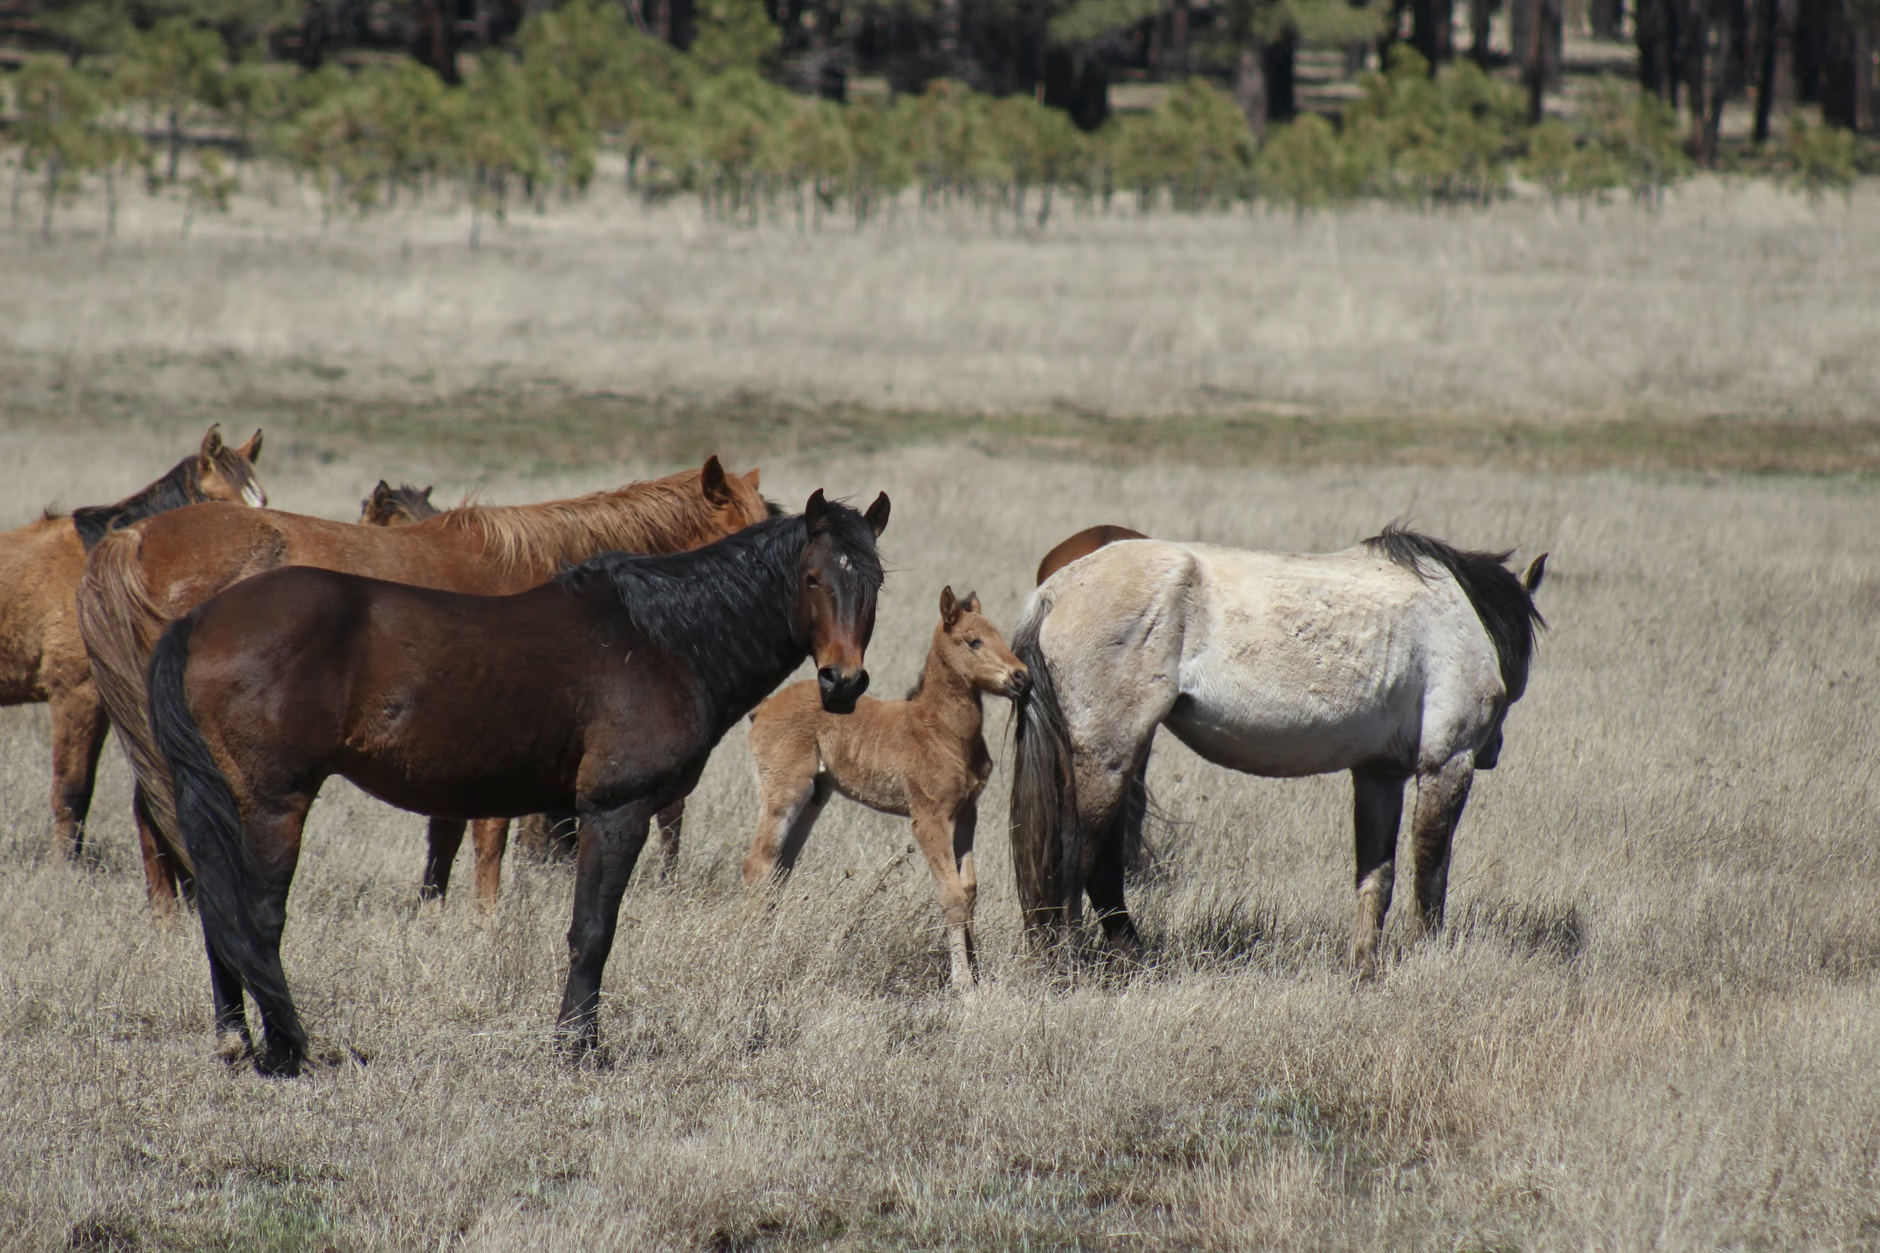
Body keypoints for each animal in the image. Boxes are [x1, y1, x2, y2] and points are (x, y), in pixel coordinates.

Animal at [142, 489, 891, 1076]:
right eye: (814, 578)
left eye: (877, 581)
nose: (843, 683)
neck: (663, 639)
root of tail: (201, 618)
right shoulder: (615, 811)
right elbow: (593, 930)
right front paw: (579, 1048)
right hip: (275, 803)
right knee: (256, 917)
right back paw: (285, 1049)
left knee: (220, 912)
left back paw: (236, 1041)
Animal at [740, 586, 1030, 985]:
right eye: (973, 641)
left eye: (999, 634)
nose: (1021, 677)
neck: (943, 730)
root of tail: (762, 708)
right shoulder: (928, 818)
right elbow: (952, 896)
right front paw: (963, 985)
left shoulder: (967, 812)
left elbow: (969, 890)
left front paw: (977, 971)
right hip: (783, 794)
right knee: (758, 865)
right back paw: (752, 950)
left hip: (813, 798)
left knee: (779, 869)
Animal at [1007, 523, 1549, 970]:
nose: (1494, 751)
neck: (1459, 613)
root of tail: (1053, 591)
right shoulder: (1446, 764)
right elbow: (1430, 875)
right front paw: (1425, 956)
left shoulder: (1379, 774)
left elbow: (1377, 877)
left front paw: (1364, 969)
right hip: (1109, 758)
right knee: (1080, 862)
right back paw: (1079, 961)